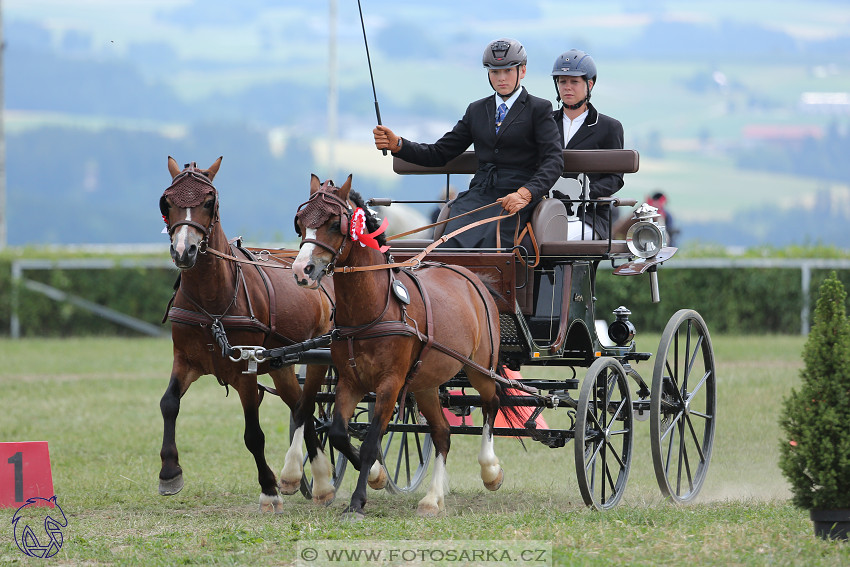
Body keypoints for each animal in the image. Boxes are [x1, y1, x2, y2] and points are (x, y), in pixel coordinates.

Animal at [158, 158, 334, 512]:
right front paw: (169, 472)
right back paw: (316, 481)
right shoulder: (185, 360)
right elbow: (168, 403)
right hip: (283, 366)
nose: (184, 251)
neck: (213, 305)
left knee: (307, 407)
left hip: (318, 355)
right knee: (302, 408)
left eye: (209, 201)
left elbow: (253, 435)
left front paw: (268, 489)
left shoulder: (245, 370)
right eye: (167, 202)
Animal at [290, 176, 510, 520]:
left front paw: (358, 501)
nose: (302, 270)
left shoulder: (390, 385)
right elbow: (339, 433)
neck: (373, 311)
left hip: (480, 368)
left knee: (492, 402)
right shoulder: (350, 381)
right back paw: (433, 499)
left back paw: (490, 471)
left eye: (335, 224)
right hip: (425, 384)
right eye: (300, 223)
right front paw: (376, 474)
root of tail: (473, 278)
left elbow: (371, 442)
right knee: (442, 433)